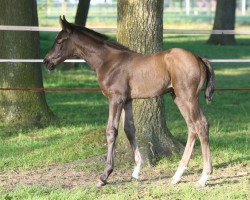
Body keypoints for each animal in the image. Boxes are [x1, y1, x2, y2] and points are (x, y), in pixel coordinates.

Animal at [44, 16, 215, 187]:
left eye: (59, 41)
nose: (46, 61)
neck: (108, 61)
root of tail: (198, 58)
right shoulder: (127, 100)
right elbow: (129, 129)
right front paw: (136, 171)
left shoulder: (116, 98)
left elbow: (112, 131)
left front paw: (104, 175)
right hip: (178, 97)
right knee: (192, 126)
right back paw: (177, 175)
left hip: (188, 97)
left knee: (201, 124)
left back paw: (204, 177)